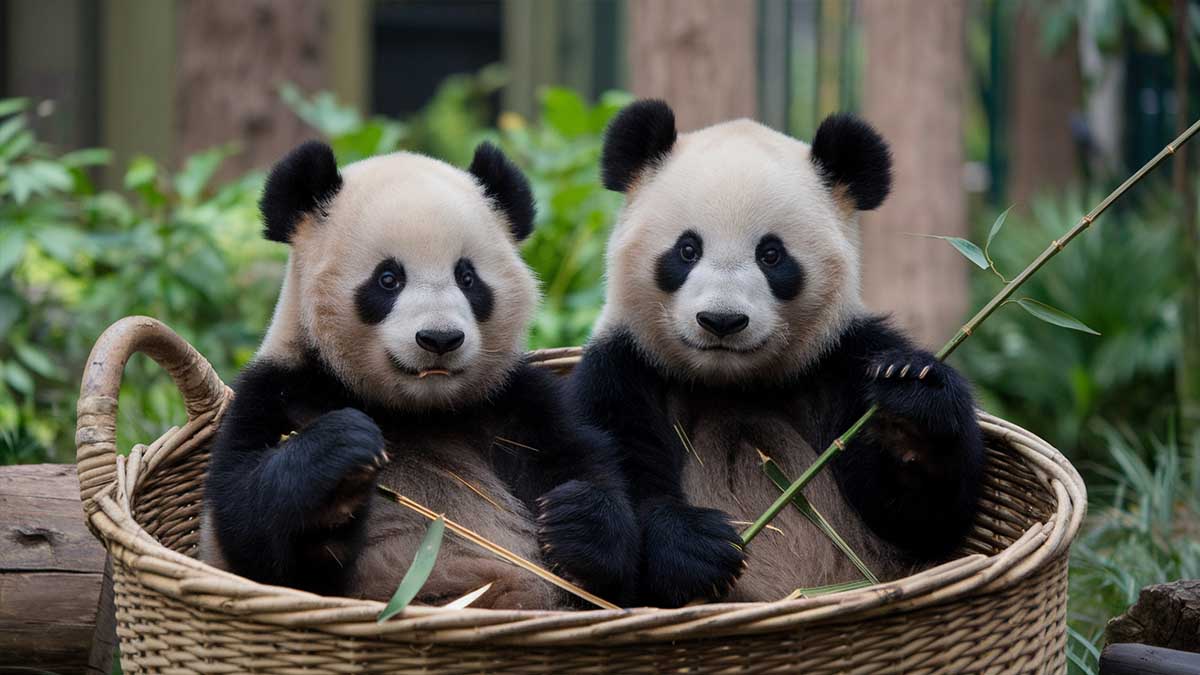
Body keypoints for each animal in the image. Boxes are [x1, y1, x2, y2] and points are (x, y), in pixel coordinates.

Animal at [200, 140, 638, 609]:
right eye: (388, 278)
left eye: (467, 277)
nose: (440, 338)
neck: (417, 409)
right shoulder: (279, 390)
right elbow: (249, 527)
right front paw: (340, 464)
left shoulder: (514, 402)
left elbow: (594, 489)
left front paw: (576, 522)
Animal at [571, 100, 985, 608]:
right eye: (687, 250)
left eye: (771, 255)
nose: (722, 321)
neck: (731, 380)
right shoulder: (622, 367)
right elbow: (618, 478)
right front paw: (696, 543)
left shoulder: (842, 358)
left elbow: (920, 519)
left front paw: (910, 406)